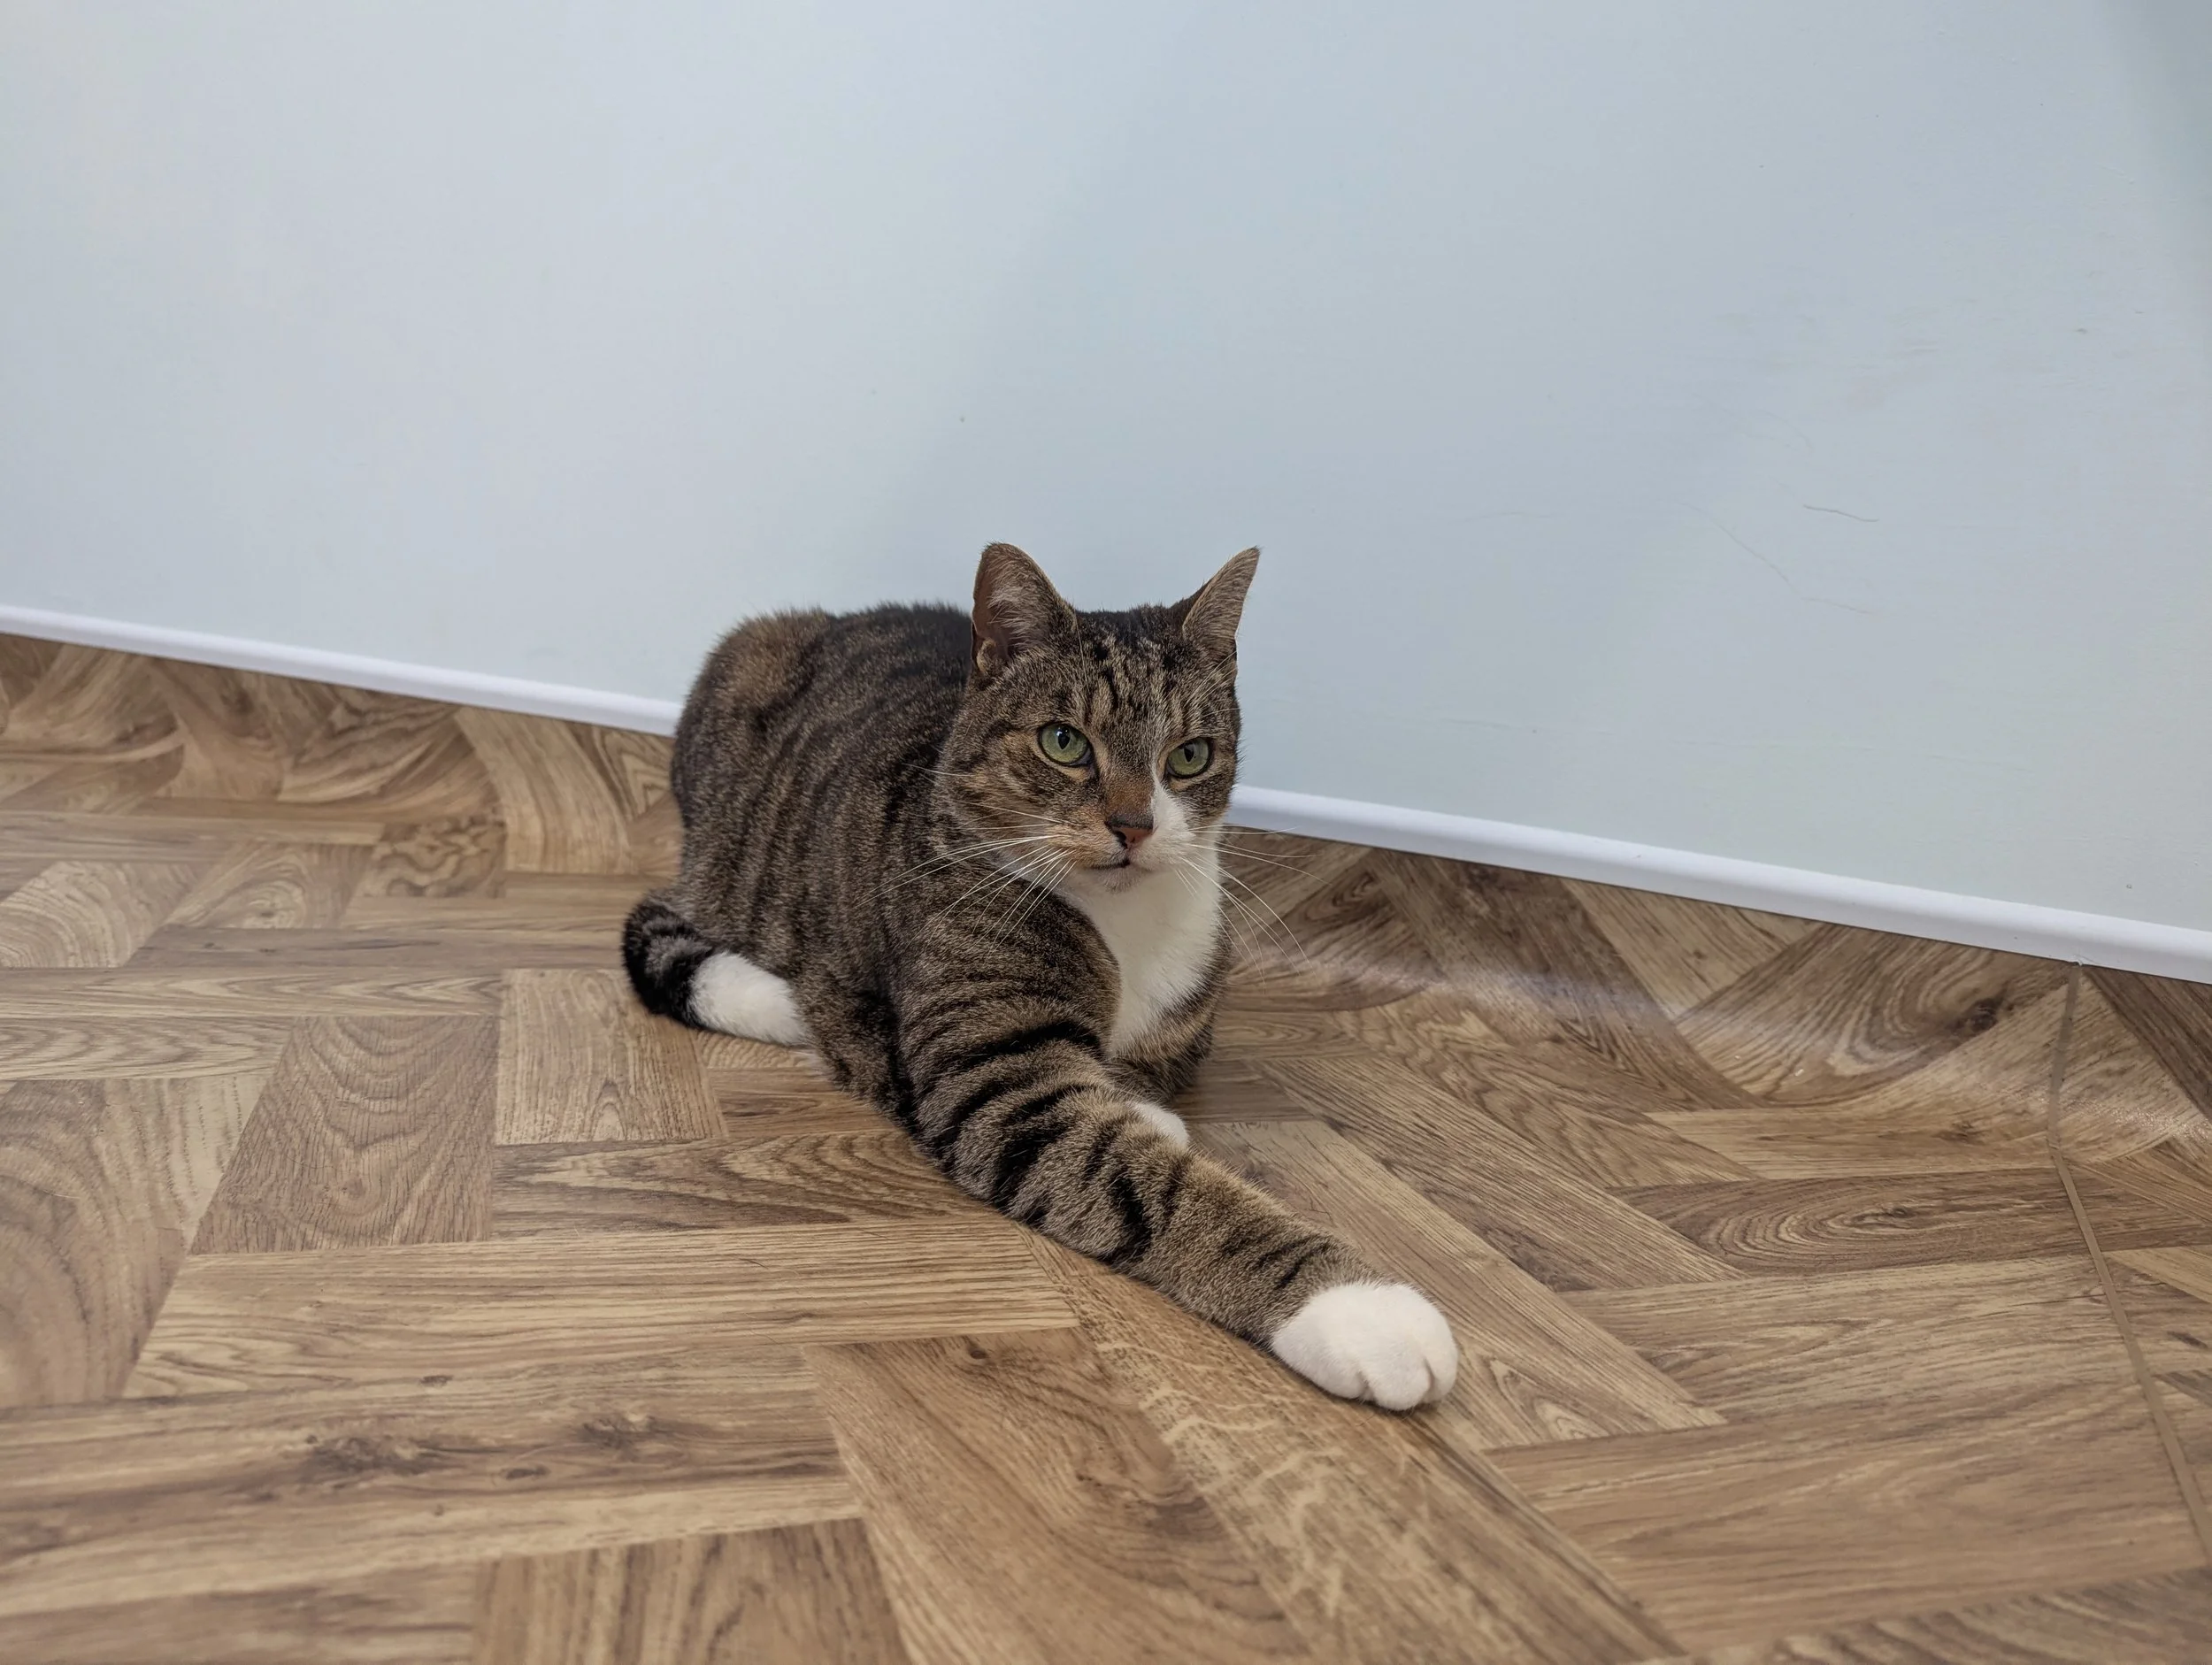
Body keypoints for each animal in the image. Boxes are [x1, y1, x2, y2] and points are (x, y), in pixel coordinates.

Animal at [624, 543, 1457, 1408]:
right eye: (1064, 742)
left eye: (1189, 756)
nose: (1134, 825)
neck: (1122, 920)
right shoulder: (1000, 1079)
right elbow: (1143, 1178)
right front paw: (1358, 1310)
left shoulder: (1185, 1014)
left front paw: (1140, 1106)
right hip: (732, 781)